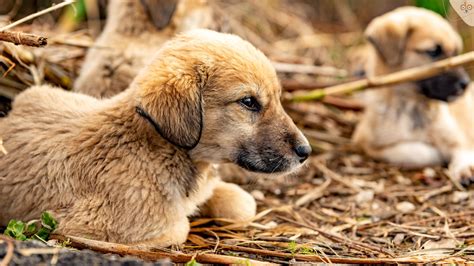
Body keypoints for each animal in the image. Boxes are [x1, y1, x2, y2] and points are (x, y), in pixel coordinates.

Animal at [0, 29, 312, 247]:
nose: (305, 152)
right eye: (248, 102)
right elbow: (180, 227)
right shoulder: (80, 225)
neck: (156, 149)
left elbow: (243, 203)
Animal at [352, 6, 474, 185]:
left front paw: (466, 169)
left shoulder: (461, 138)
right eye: (433, 51)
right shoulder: (367, 144)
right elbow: (417, 151)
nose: (465, 84)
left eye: (456, 52)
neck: (412, 106)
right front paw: (436, 153)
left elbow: (464, 150)